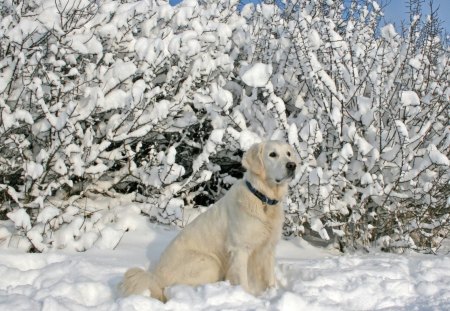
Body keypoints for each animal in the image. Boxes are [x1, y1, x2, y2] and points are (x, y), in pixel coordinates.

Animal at [119, 141, 298, 302]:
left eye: (288, 153)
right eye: (272, 154)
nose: (292, 165)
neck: (263, 199)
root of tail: (154, 278)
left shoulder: (268, 248)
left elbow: (270, 278)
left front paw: (273, 292)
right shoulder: (240, 249)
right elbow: (243, 280)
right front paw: (248, 298)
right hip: (209, 262)